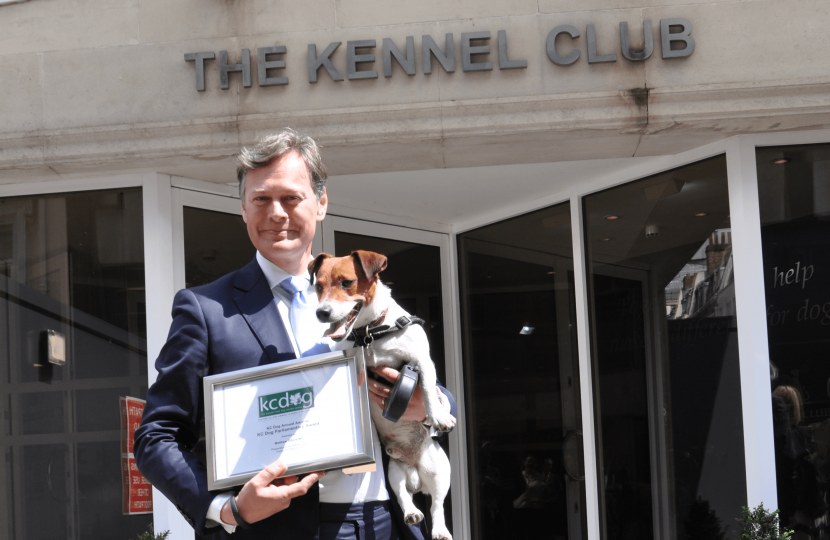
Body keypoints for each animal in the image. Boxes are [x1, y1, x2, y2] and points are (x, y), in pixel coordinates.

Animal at [310, 250, 456, 540]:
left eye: (347, 282)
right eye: (318, 286)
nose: (322, 312)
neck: (371, 334)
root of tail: (415, 472)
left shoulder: (422, 361)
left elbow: (428, 388)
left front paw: (438, 416)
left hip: (439, 470)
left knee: (436, 505)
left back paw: (440, 530)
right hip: (394, 471)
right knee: (402, 496)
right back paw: (411, 513)